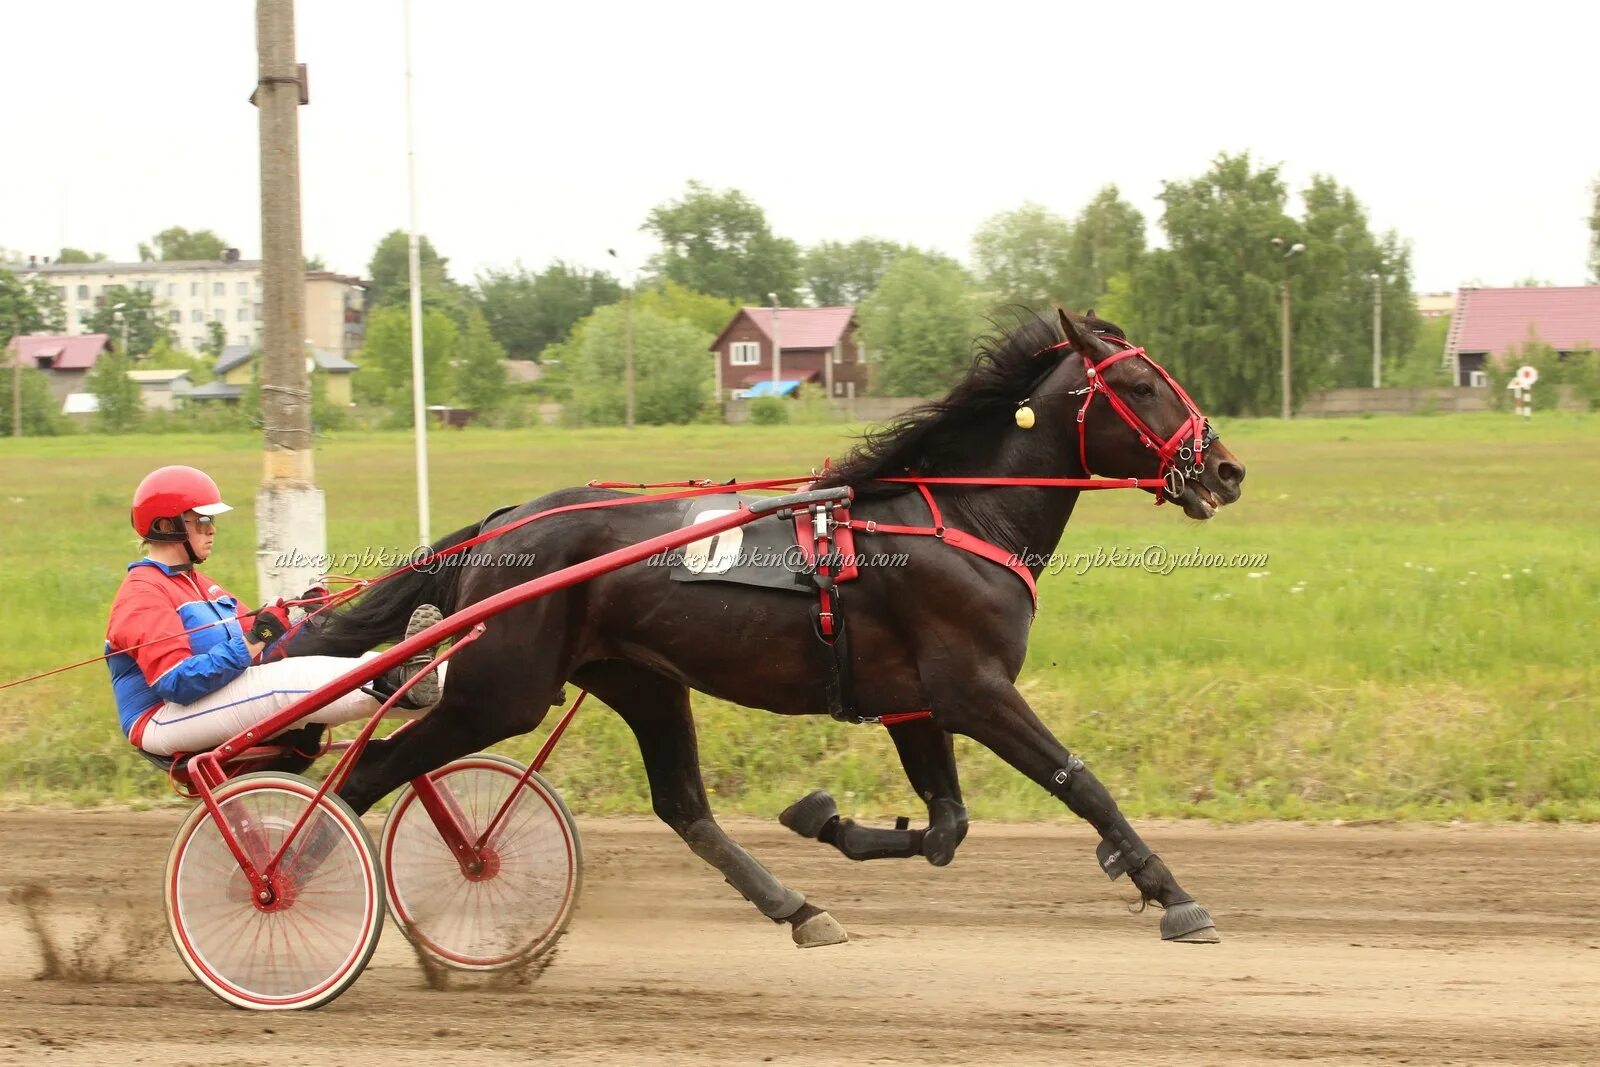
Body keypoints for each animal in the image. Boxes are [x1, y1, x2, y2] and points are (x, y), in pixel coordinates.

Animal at [291, 310, 1248, 953]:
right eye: (1141, 386)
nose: (1227, 468)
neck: (961, 514)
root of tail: (502, 525)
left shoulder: (915, 703)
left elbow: (946, 827)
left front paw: (825, 817)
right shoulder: (975, 689)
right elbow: (1082, 783)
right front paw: (1173, 894)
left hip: (642, 681)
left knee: (684, 807)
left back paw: (798, 907)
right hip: (500, 691)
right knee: (365, 775)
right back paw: (291, 879)